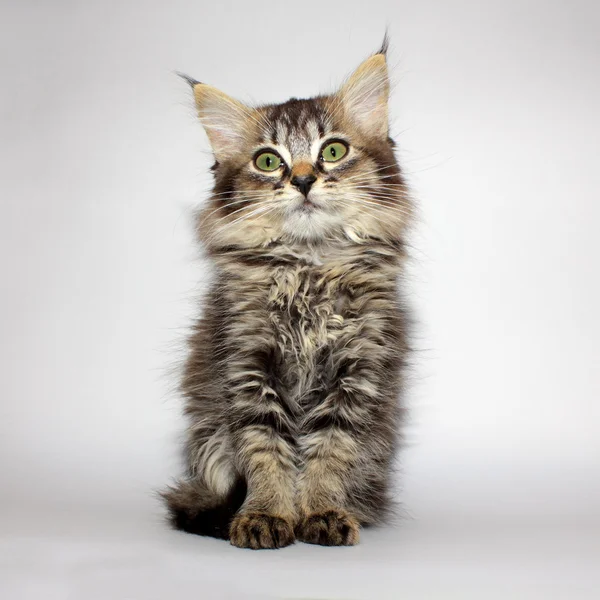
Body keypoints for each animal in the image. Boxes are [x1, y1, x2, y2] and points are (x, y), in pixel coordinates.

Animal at [162, 39, 410, 548]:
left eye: (333, 150)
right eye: (268, 161)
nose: (302, 179)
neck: (308, 268)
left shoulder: (356, 373)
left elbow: (330, 451)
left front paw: (322, 511)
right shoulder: (247, 363)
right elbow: (265, 450)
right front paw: (266, 514)